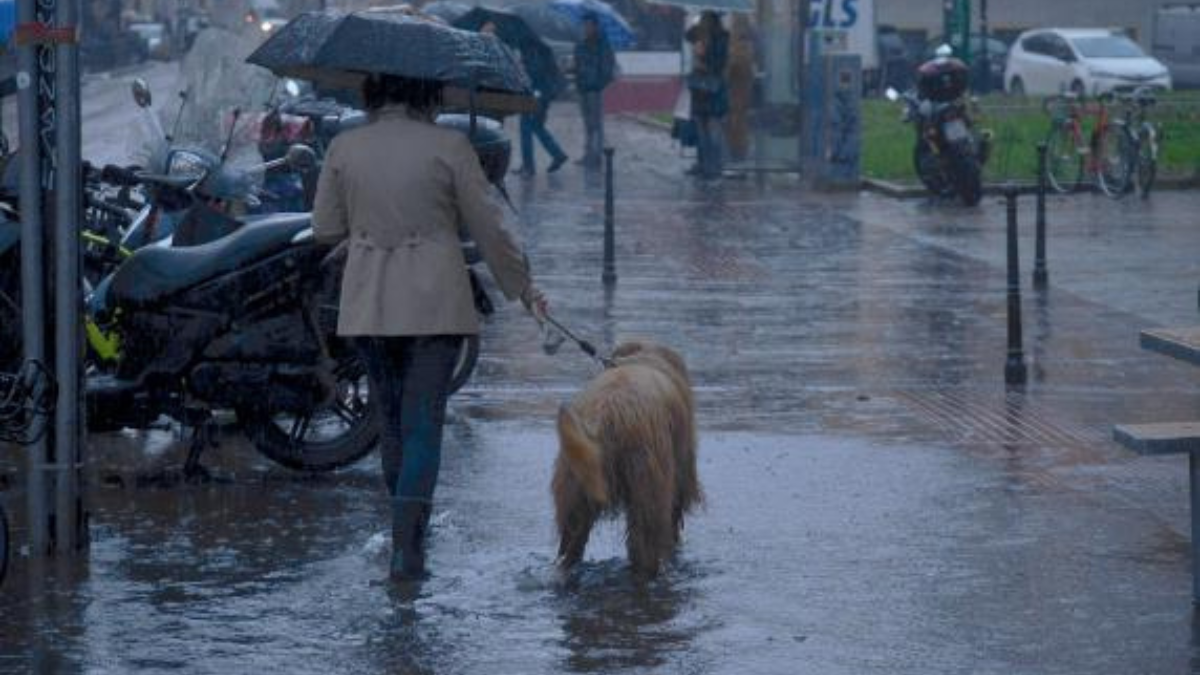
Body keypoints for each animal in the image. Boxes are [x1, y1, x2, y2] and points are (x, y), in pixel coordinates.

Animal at [549, 338, 700, 576]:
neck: (644, 356)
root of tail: (606, 415)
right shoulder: (681, 469)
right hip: (648, 491)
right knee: (644, 547)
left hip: (574, 488)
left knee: (570, 547)